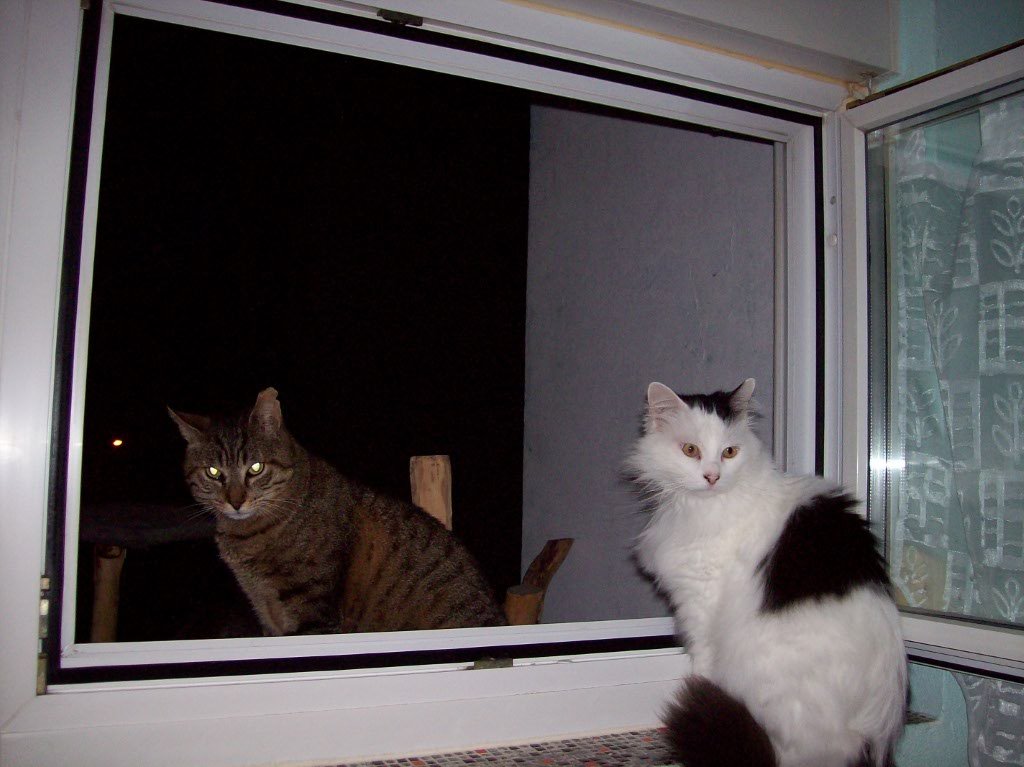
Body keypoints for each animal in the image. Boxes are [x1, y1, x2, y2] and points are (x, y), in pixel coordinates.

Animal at [627, 379, 907, 767]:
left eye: (729, 452)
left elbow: (701, 662)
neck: (703, 506)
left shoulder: (701, 601)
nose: (712, 477)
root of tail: (866, 739)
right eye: (690, 450)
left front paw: (696, 687)